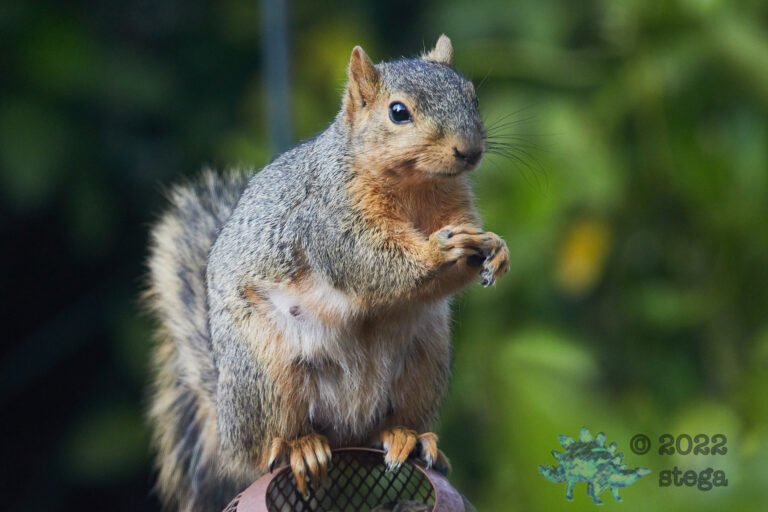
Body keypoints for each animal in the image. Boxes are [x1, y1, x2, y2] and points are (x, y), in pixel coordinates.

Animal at [145, 34, 509, 511]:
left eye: (471, 95)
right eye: (398, 111)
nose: (469, 151)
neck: (416, 185)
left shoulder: (455, 203)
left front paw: (496, 249)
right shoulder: (329, 218)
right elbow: (369, 260)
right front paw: (440, 249)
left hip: (424, 359)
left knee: (384, 427)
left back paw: (407, 437)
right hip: (266, 372)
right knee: (266, 447)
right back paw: (299, 447)